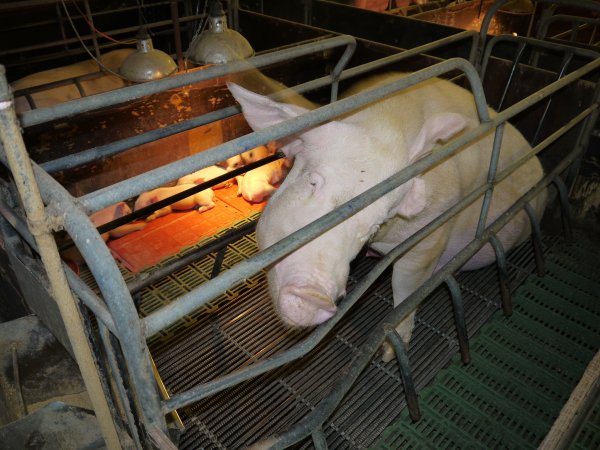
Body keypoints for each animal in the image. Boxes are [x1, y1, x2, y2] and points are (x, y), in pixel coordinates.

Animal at [229, 74, 548, 362]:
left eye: (374, 225)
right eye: (313, 182)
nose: (314, 296)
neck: (387, 121)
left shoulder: (430, 237)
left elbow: (405, 288)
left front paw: (387, 355)